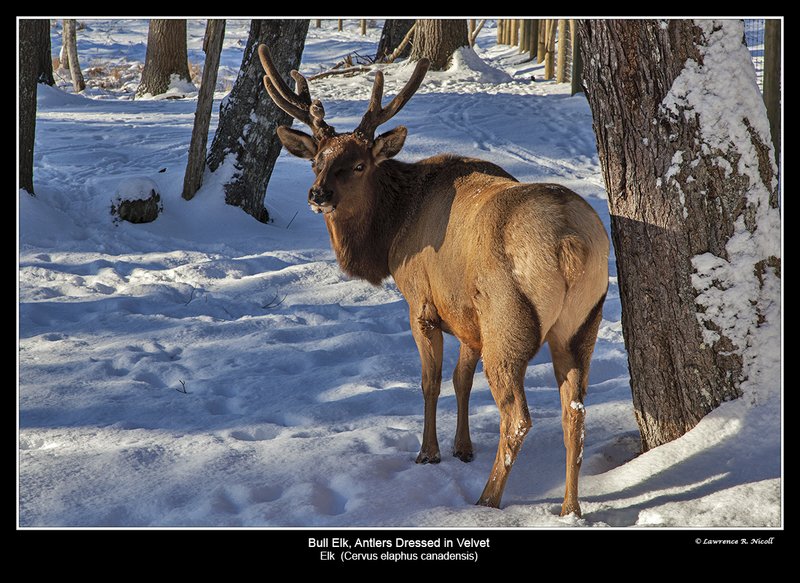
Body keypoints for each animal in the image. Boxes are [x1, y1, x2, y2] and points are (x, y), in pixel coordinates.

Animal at [258, 45, 609, 517]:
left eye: (359, 164)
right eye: (317, 161)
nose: (318, 194)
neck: (391, 234)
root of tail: (572, 245)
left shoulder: (422, 302)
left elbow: (430, 381)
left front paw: (429, 452)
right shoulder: (464, 314)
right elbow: (461, 380)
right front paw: (462, 448)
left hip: (508, 320)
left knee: (518, 417)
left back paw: (488, 499)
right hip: (583, 322)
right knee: (575, 410)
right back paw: (570, 508)